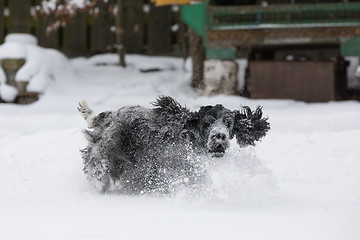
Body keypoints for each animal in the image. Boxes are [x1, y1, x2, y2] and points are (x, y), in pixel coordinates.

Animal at [79, 95, 270, 195]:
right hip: (107, 145)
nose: (220, 136)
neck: (190, 140)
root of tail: (109, 115)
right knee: (96, 161)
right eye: (207, 123)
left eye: (228, 123)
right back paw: (100, 183)